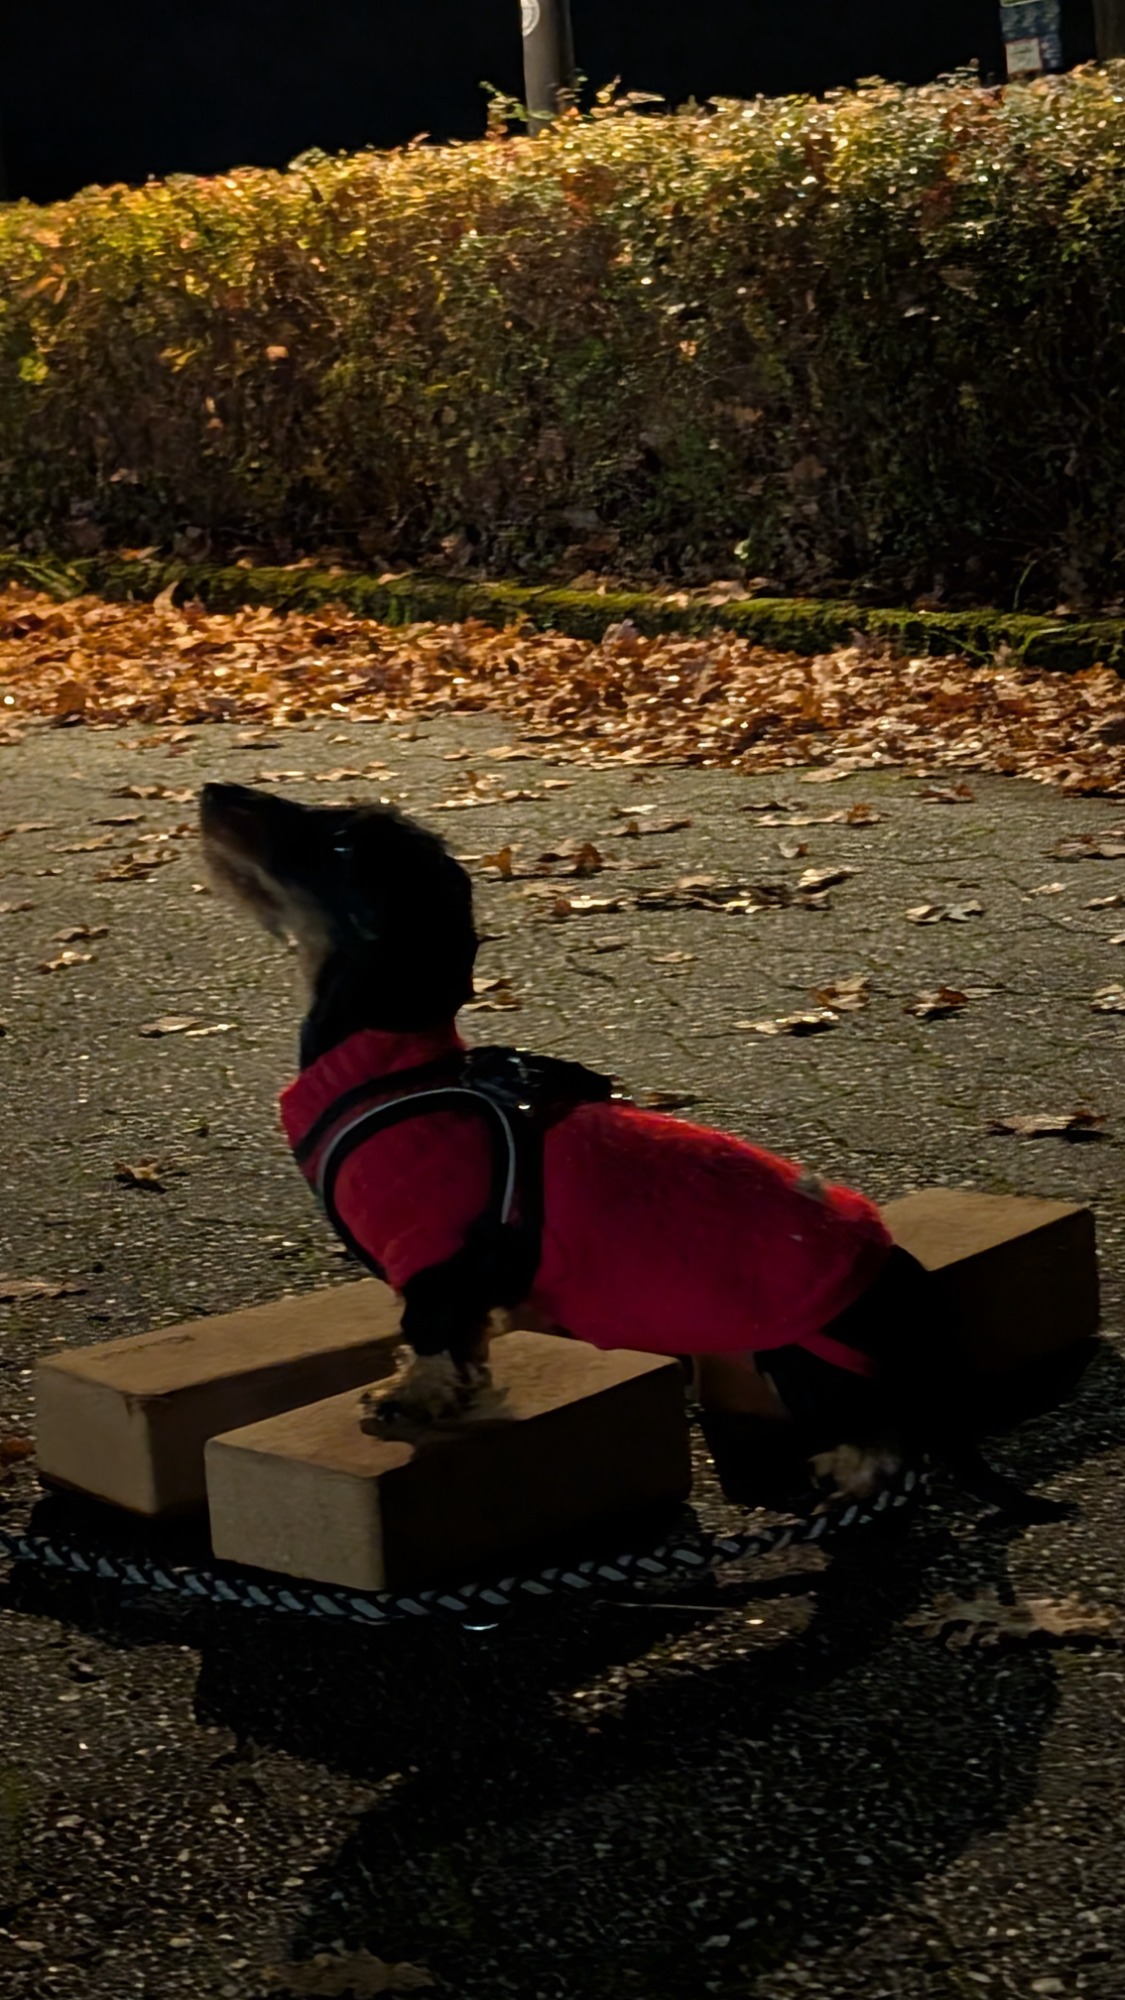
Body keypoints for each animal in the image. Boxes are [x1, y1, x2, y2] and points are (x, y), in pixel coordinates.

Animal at [200, 780, 1078, 1518]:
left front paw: (406, 1398)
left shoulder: (437, 1263)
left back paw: (844, 1481)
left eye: (340, 841)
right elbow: (464, 1347)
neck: (392, 1067)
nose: (214, 790)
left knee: (882, 1437)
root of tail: (900, 1279)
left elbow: (431, 1342)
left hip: (807, 1360)